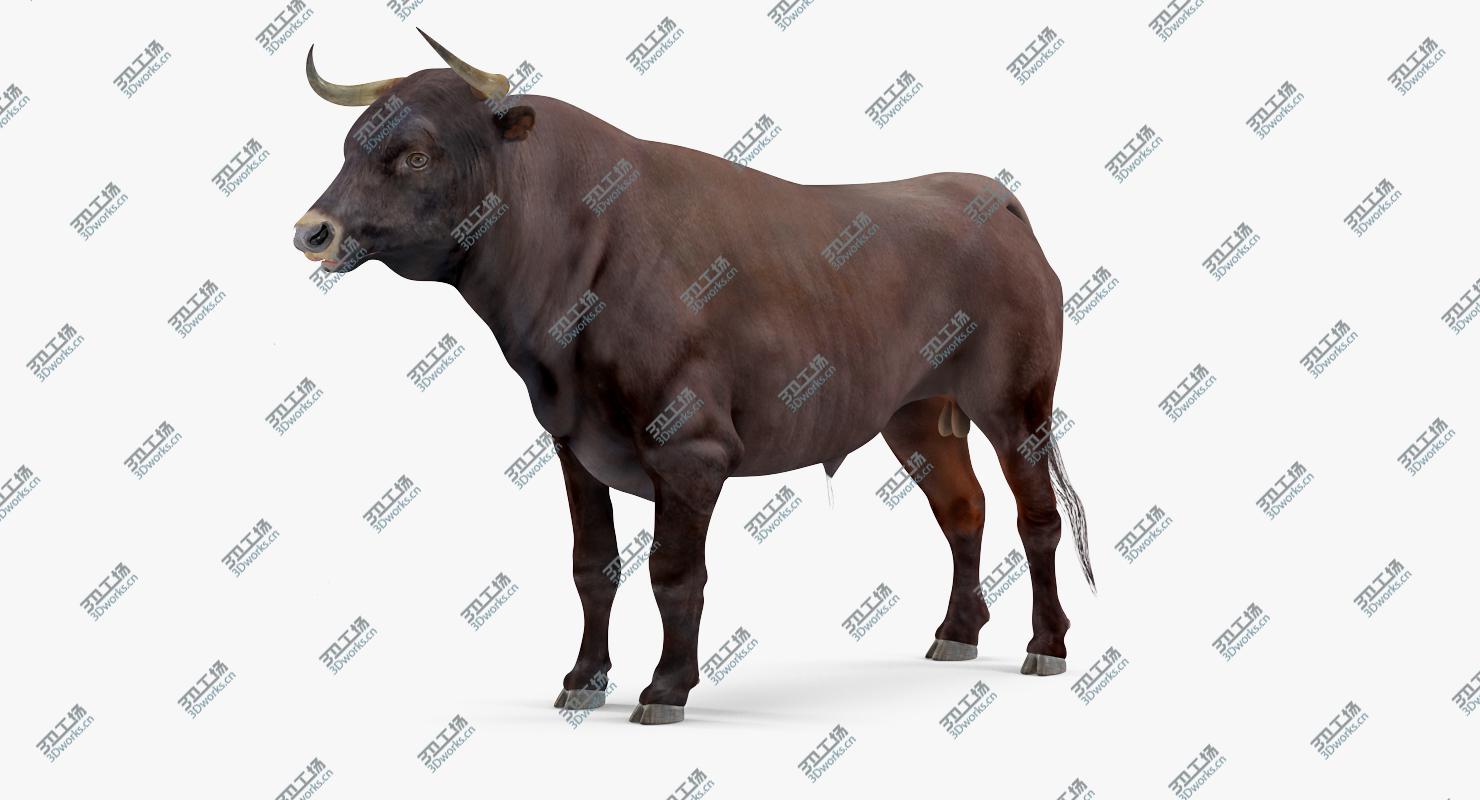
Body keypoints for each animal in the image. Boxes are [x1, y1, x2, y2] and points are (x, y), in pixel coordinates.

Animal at [293, 30, 1094, 724]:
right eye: (350, 146)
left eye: (416, 155)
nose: (312, 231)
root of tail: (984, 193)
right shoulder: (573, 443)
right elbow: (594, 566)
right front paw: (584, 679)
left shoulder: (691, 448)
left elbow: (674, 572)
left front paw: (667, 687)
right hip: (917, 413)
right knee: (963, 509)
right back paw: (957, 632)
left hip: (1017, 405)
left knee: (1037, 516)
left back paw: (1047, 644)